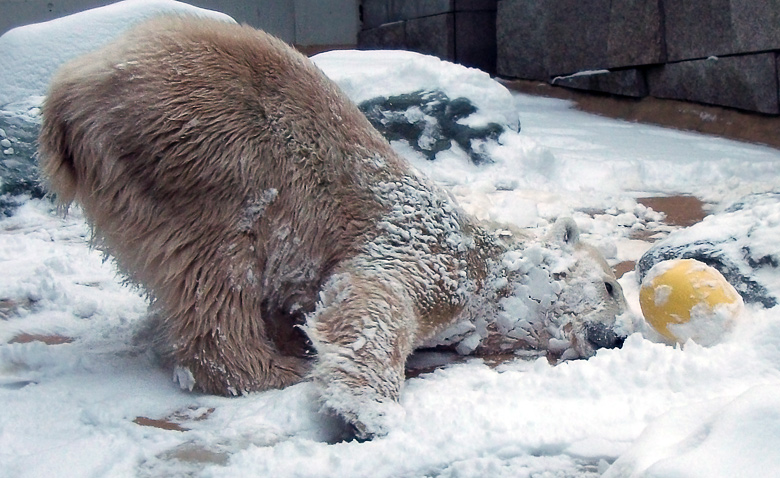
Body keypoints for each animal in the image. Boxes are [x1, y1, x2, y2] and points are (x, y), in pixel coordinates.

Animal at [39, 16, 632, 438]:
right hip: (205, 148)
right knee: (219, 266)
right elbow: (375, 294)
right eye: (610, 286)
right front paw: (370, 412)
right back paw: (269, 368)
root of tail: (71, 89)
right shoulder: (431, 248)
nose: (621, 338)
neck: (491, 266)